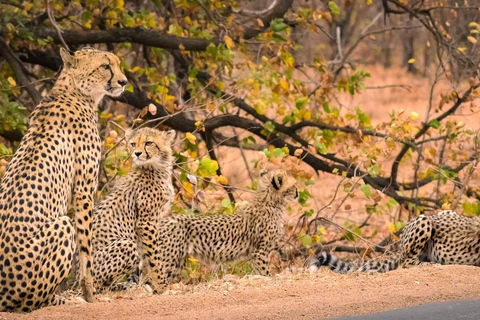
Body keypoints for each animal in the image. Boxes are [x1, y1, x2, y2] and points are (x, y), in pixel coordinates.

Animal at [0, 46, 127, 312]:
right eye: (105, 66)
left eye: (118, 64)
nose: (123, 82)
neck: (74, 91)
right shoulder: (84, 191)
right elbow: (86, 251)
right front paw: (90, 295)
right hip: (61, 226)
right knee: (29, 303)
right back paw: (60, 299)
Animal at [90, 126, 174, 288]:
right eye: (133, 144)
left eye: (149, 143)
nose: (137, 153)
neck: (155, 166)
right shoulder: (146, 222)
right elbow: (154, 257)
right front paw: (162, 285)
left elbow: (147, 258)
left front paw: (149, 283)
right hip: (126, 244)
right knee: (99, 286)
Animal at [144, 170, 298, 292]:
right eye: (293, 186)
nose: (298, 192)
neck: (271, 202)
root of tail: (164, 221)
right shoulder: (260, 251)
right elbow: (264, 272)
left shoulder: (255, 252)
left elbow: (258, 272)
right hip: (169, 258)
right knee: (151, 276)